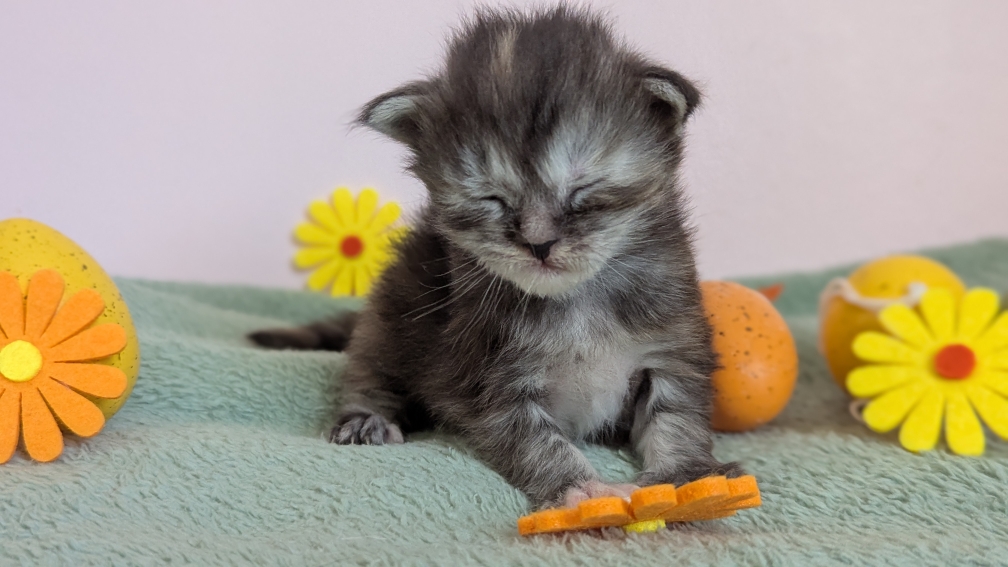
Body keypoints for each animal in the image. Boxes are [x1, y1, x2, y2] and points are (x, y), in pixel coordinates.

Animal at [251, 6, 743, 509]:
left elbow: (677, 414)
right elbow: (532, 438)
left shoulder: (672, 346)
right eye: (492, 199)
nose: (539, 244)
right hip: (394, 312)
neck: (576, 301)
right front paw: (580, 489)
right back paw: (367, 417)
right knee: (370, 366)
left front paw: (687, 475)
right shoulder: (483, 376)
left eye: (582, 192)